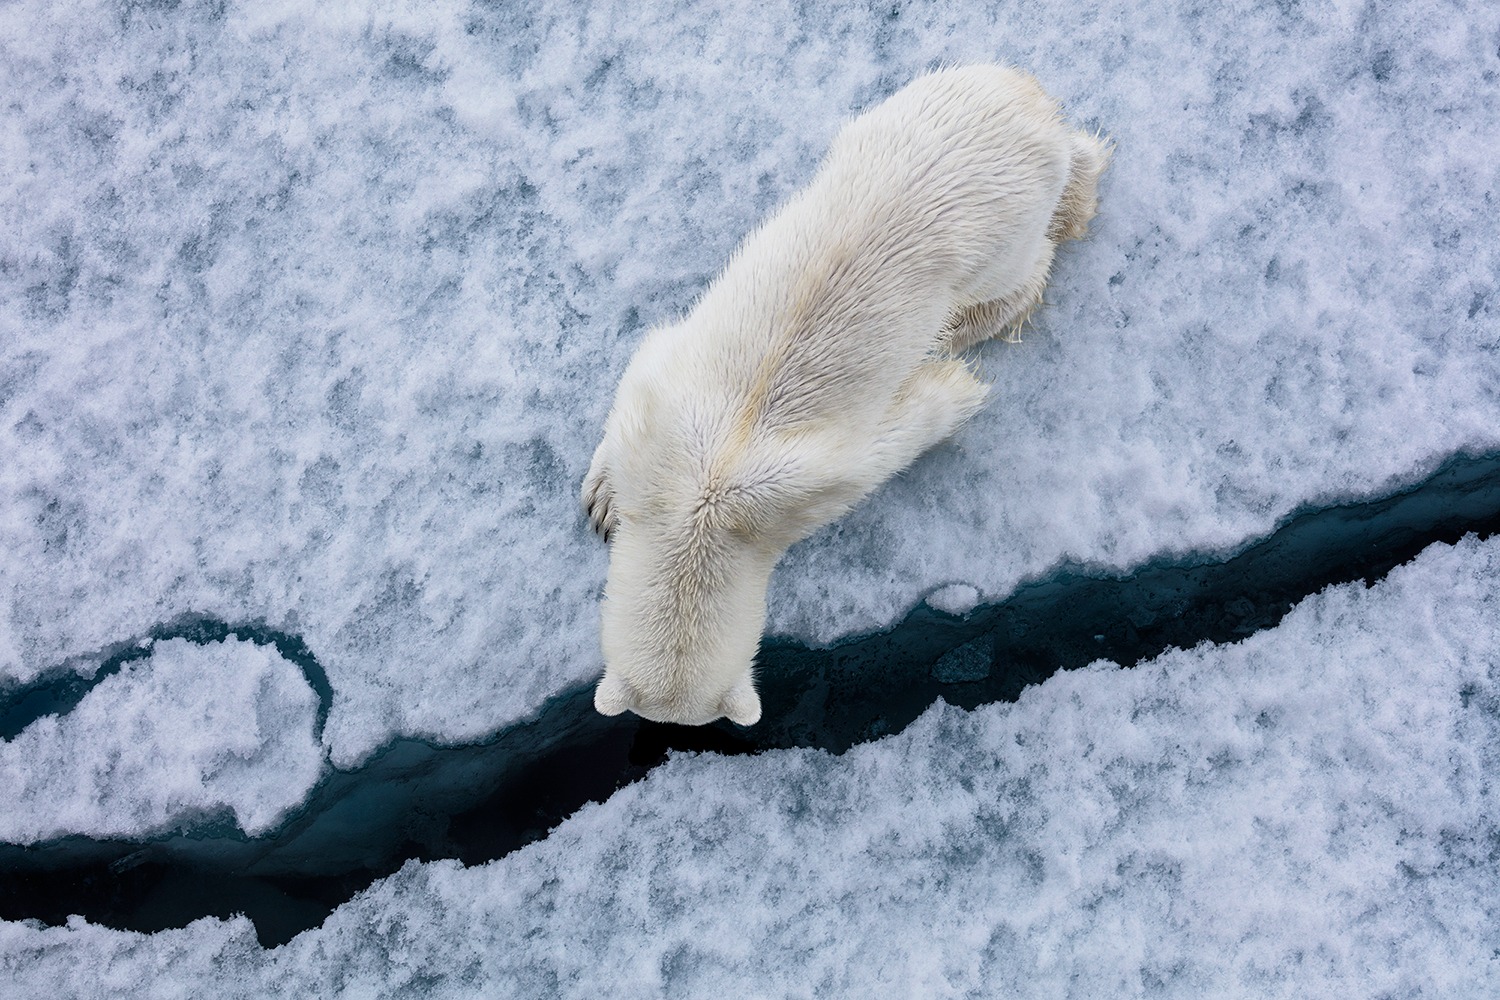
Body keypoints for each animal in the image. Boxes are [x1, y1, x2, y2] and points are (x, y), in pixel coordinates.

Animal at [583, 65, 1109, 727]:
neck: (704, 503)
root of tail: (1030, 101)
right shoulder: (665, 413)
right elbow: (641, 371)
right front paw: (602, 498)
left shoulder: (812, 487)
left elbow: (907, 427)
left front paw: (953, 384)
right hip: (898, 117)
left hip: (1001, 230)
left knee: (1018, 273)